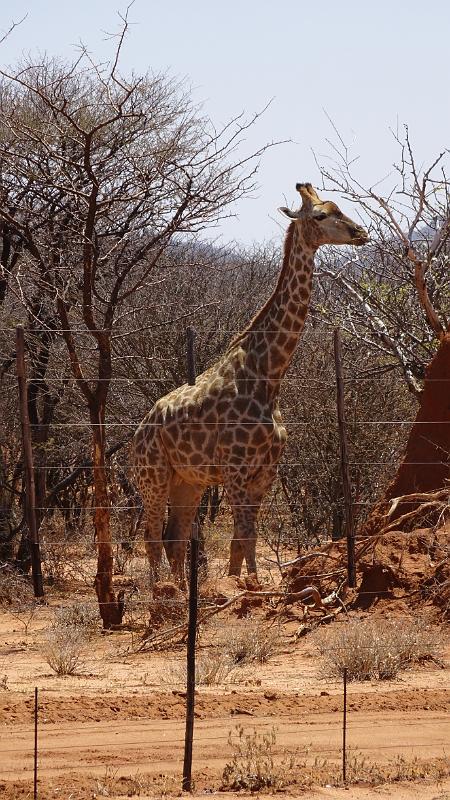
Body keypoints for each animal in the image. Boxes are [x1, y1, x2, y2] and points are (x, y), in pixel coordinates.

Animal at [132, 184, 368, 584]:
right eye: (320, 215)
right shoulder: (236, 470)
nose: (360, 232)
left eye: (341, 209)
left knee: (174, 537)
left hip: (188, 481)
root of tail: (139, 429)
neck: (268, 375)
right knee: (151, 536)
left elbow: (242, 540)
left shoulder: (264, 474)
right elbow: (244, 535)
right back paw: (161, 593)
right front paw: (251, 587)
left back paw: (180, 590)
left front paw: (242, 584)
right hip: (153, 475)